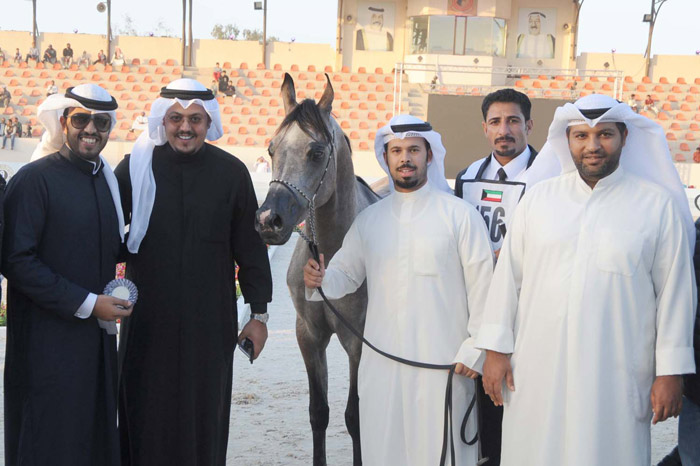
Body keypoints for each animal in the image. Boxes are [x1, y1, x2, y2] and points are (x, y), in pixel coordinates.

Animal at [255, 73, 380, 466]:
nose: (269, 221)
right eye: (271, 149)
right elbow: (319, 412)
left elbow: (355, 416)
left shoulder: (357, 341)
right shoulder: (309, 336)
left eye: (317, 152)